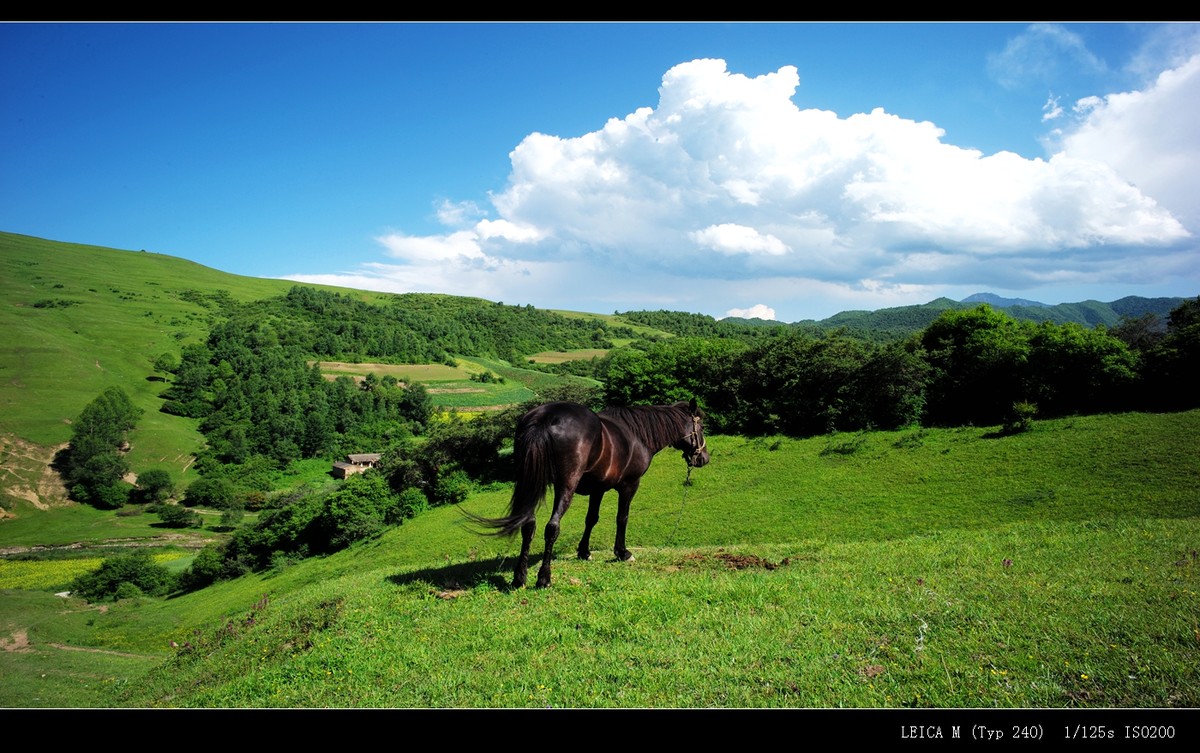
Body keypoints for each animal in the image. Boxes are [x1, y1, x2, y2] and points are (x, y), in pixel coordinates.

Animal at [472, 400, 705, 587]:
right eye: (702, 426)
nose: (704, 458)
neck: (638, 434)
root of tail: (545, 417)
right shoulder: (629, 485)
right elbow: (622, 518)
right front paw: (622, 552)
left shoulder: (598, 489)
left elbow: (591, 519)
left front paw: (584, 551)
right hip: (565, 486)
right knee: (552, 527)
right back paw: (544, 578)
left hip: (530, 484)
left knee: (528, 525)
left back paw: (519, 578)